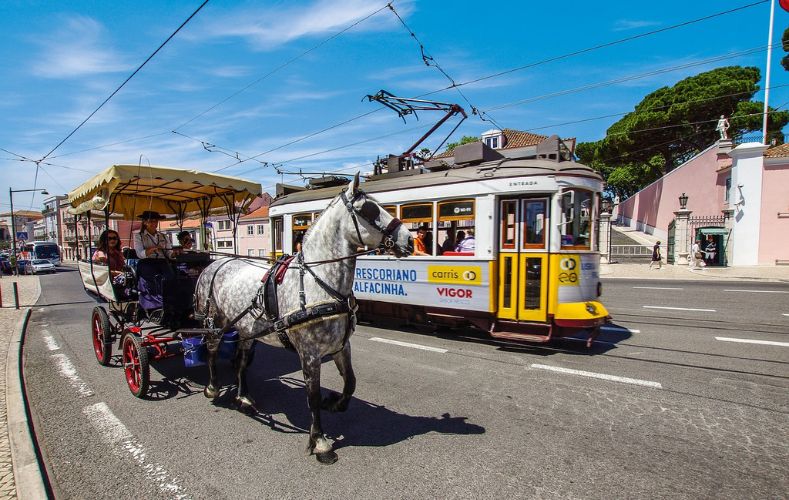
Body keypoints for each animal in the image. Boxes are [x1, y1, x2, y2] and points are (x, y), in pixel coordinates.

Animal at [194, 176, 412, 464]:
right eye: (370, 210)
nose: (411, 239)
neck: (319, 282)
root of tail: (214, 264)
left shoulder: (341, 346)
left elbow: (350, 382)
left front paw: (335, 403)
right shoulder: (309, 354)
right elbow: (312, 395)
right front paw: (319, 442)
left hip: (246, 330)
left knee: (240, 363)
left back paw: (243, 398)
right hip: (214, 322)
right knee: (211, 351)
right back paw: (212, 387)